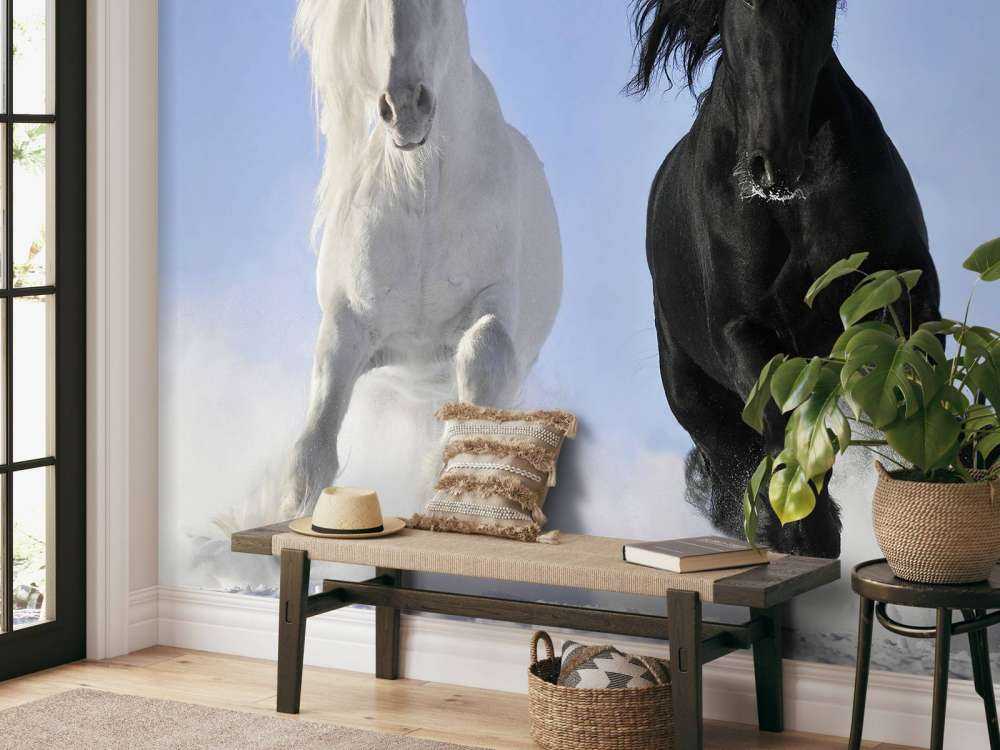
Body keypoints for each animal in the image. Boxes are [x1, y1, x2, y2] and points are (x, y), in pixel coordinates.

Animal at [280, 0, 563, 519]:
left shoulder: (495, 306)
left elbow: (483, 353)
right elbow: (312, 456)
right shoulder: (347, 325)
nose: (405, 107)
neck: (424, 192)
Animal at [628, 0, 940, 557]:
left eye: (819, 8)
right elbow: (782, 419)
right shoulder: (742, 330)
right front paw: (805, 532)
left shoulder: (904, 290)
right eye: (745, 7)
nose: (775, 165)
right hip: (698, 400)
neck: (791, 211)